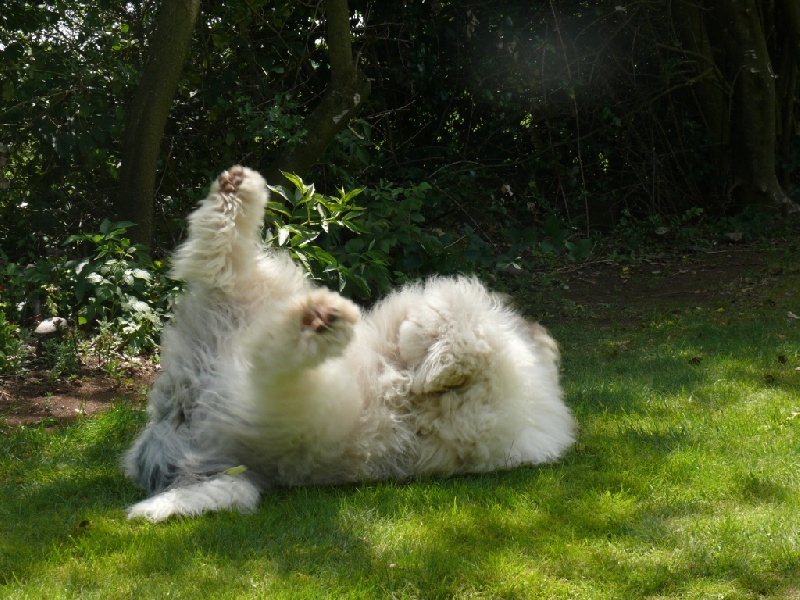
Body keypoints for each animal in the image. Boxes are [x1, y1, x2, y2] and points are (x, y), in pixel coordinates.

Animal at [123, 166, 575, 521]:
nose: (539, 330)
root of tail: (180, 415)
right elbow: (449, 325)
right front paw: (432, 365)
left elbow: (461, 346)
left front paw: (435, 371)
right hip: (255, 304)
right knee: (221, 264)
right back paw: (237, 192)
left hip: (289, 400)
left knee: (267, 353)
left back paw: (318, 324)